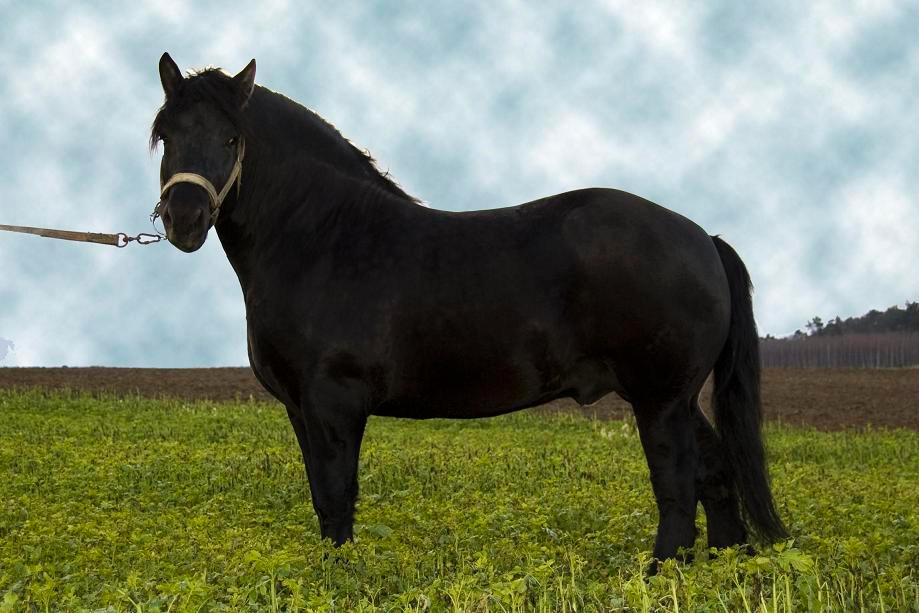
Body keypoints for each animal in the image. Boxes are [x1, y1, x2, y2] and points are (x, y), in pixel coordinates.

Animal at [151, 53, 784, 564]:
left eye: (232, 139)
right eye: (166, 135)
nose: (184, 219)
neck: (326, 239)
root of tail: (702, 237)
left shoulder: (334, 403)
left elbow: (336, 498)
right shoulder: (299, 409)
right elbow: (321, 497)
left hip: (660, 400)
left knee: (678, 489)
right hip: (676, 398)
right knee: (717, 475)